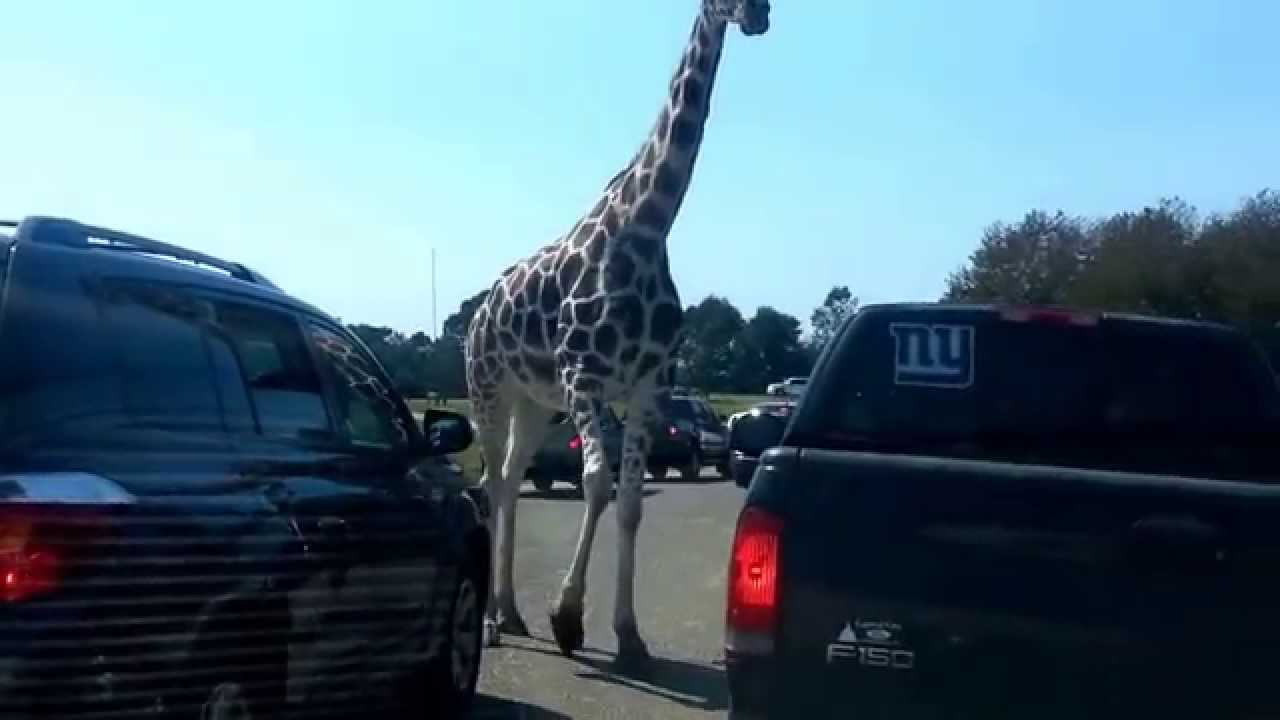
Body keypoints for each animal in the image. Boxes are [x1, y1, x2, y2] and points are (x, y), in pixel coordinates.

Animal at [465, 0, 771, 666]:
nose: (758, 15)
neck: (648, 226)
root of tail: (476, 315)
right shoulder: (584, 378)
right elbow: (595, 482)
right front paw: (567, 619)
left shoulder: (648, 386)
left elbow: (629, 501)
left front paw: (628, 633)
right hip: (487, 388)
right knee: (493, 480)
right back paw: (496, 620)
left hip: (533, 401)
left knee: (511, 477)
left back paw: (511, 611)